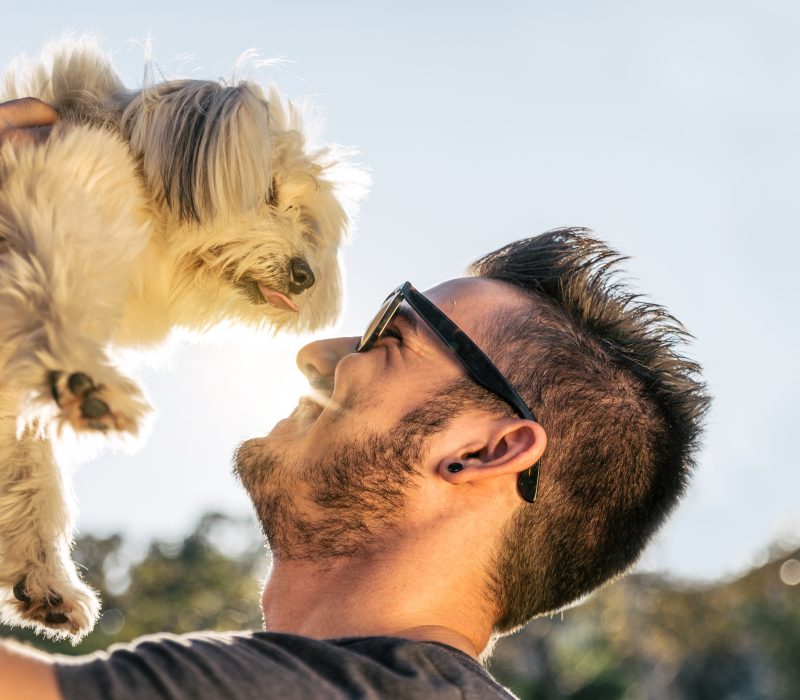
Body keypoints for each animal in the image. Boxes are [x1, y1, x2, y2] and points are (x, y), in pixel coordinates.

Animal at [0, 38, 366, 640]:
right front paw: (83, 378)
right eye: (269, 192)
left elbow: (28, 470)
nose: (305, 275)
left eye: (304, 218)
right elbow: (54, 286)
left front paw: (45, 579)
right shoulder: (57, 195)